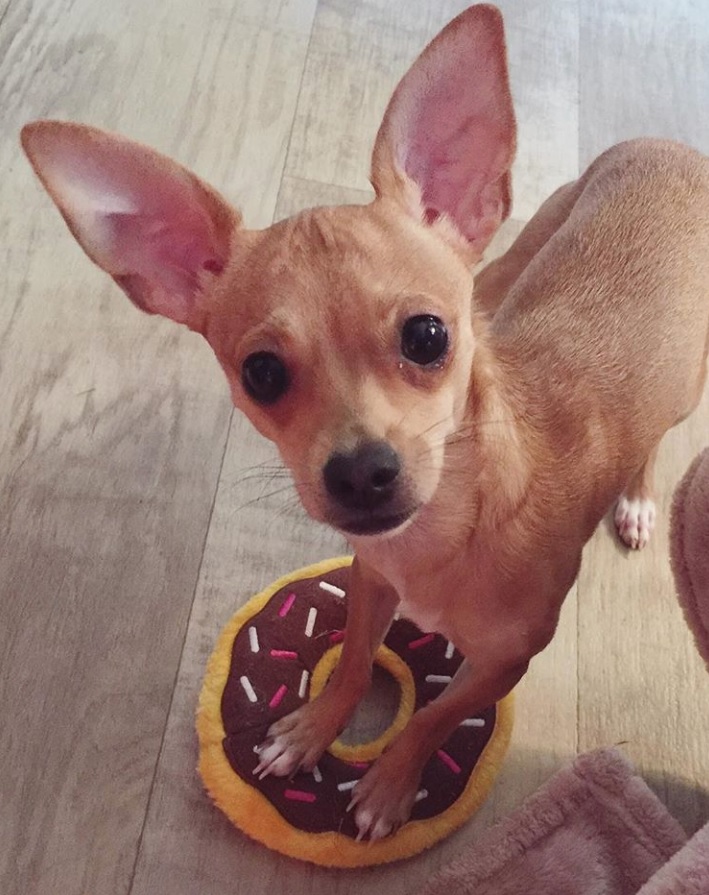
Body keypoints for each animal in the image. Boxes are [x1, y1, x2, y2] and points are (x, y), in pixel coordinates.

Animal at [20, 3, 708, 844]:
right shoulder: (370, 577)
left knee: (656, 439)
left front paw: (389, 784)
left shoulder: (507, 659)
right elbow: (351, 660)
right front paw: (314, 730)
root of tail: (671, 147)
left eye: (426, 336)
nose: (358, 472)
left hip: (688, 381)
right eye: (261, 373)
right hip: (511, 262)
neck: (447, 529)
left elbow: (436, 715)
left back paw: (637, 497)